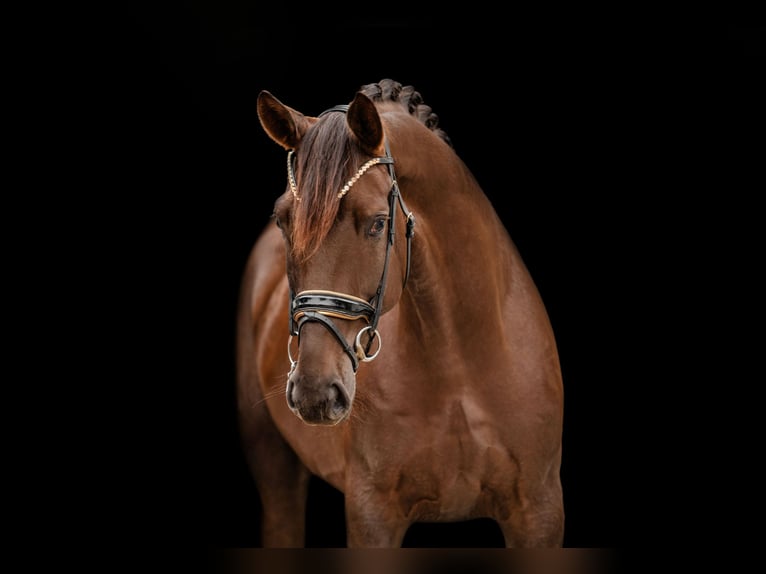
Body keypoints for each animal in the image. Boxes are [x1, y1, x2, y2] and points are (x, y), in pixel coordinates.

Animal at [236, 79, 564, 547]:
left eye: (377, 223)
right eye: (283, 220)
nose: (315, 392)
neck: (460, 370)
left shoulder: (538, 511)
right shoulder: (373, 514)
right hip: (274, 466)